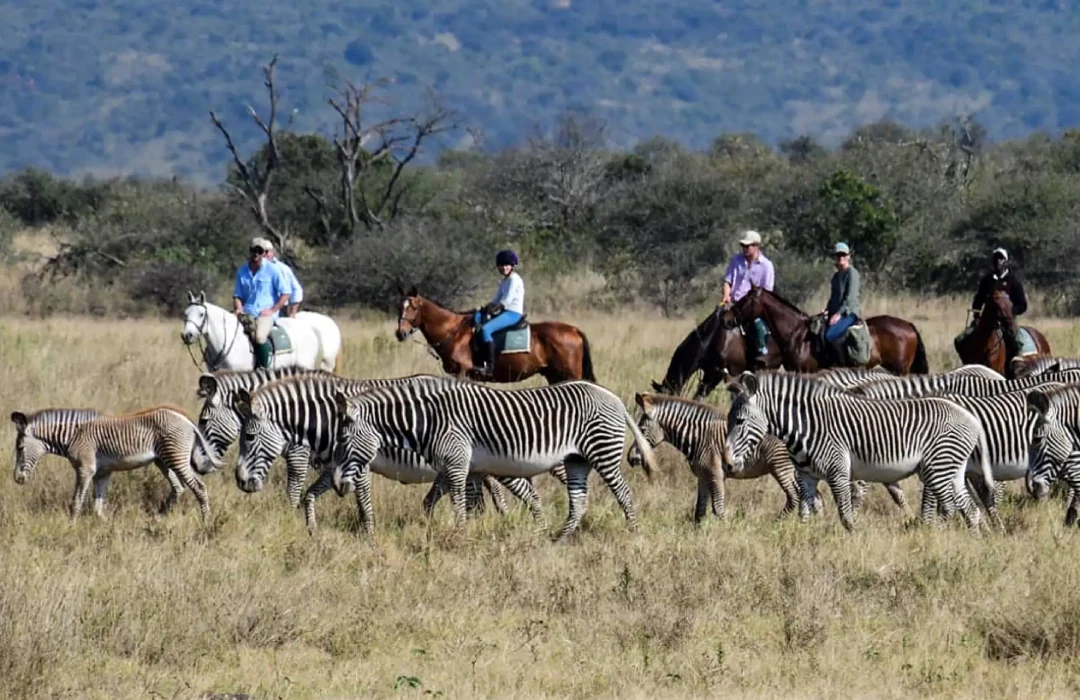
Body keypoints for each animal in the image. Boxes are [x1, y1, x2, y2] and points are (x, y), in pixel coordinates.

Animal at [395, 286, 595, 384]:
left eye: (413, 307)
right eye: (399, 307)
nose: (400, 333)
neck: (454, 331)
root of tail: (574, 330)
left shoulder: (463, 373)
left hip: (570, 375)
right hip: (554, 376)